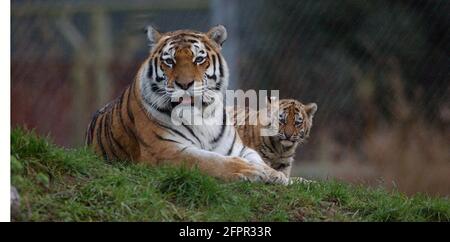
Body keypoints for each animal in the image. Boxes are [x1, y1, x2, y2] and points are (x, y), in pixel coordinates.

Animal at [85, 25, 288, 185]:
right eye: (169, 61)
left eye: (199, 59)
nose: (184, 84)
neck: (202, 114)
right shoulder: (165, 150)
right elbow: (211, 160)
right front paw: (250, 171)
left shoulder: (238, 148)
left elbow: (257, 158)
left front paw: (276, 175)